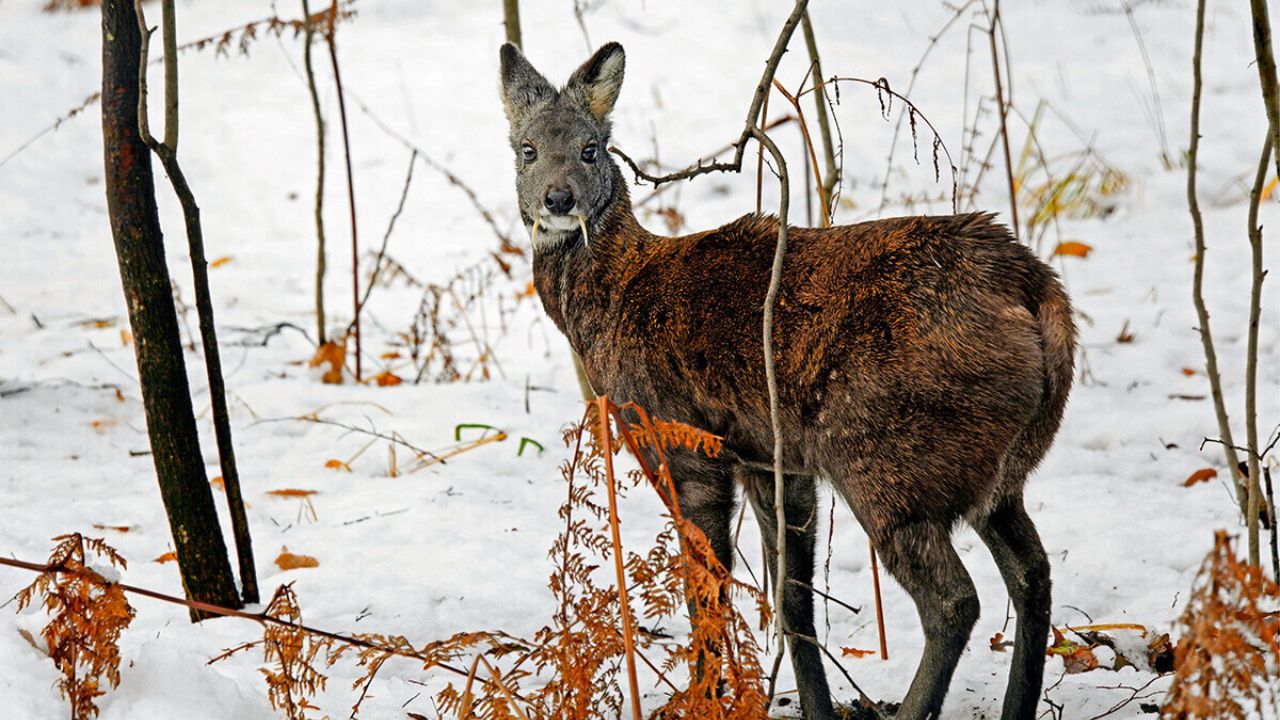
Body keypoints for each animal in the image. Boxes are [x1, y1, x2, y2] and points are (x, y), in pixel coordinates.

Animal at [499, 41, 1076, 720]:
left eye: (591, 148)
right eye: (526, 149)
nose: (558, 199)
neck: (614, 298)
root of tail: (1034, 291)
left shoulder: (682, 440)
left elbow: (708, 591)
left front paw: (703, 698)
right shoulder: (771, 457)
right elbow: (792, 600)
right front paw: (814, 707)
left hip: (884, 455)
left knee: (955, 600)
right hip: (996, 470)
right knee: (1032, 573)